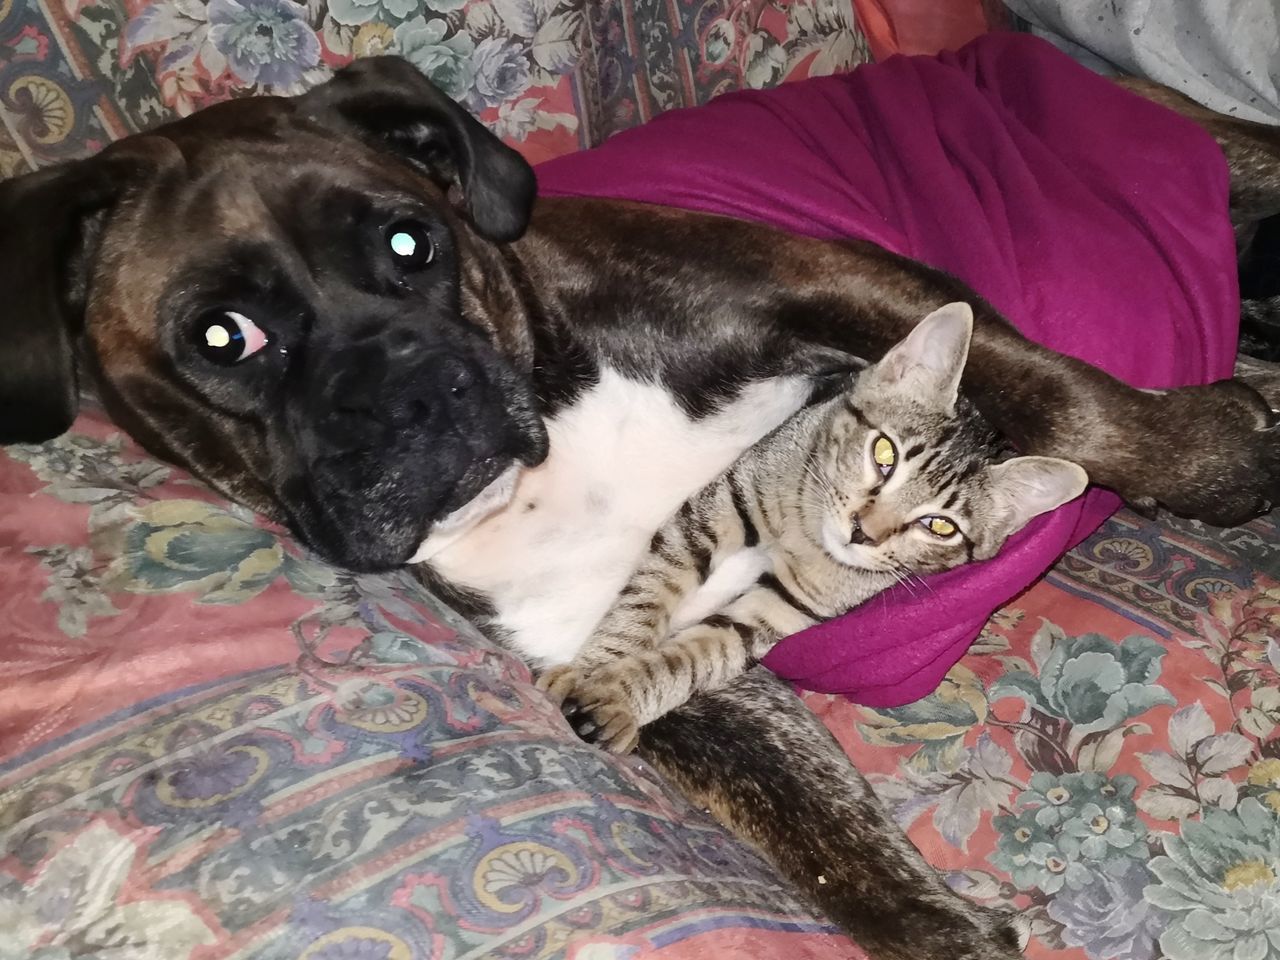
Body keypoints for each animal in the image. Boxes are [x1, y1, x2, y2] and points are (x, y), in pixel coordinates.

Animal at [535, 304, 1085, 757]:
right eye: (884, 454)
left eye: (940, 525)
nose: (863, 532)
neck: (804, 537)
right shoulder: (718, 504)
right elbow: (647, 595)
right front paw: (592, 665)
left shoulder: (778, 610)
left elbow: (696, 658)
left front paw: (618, 696)